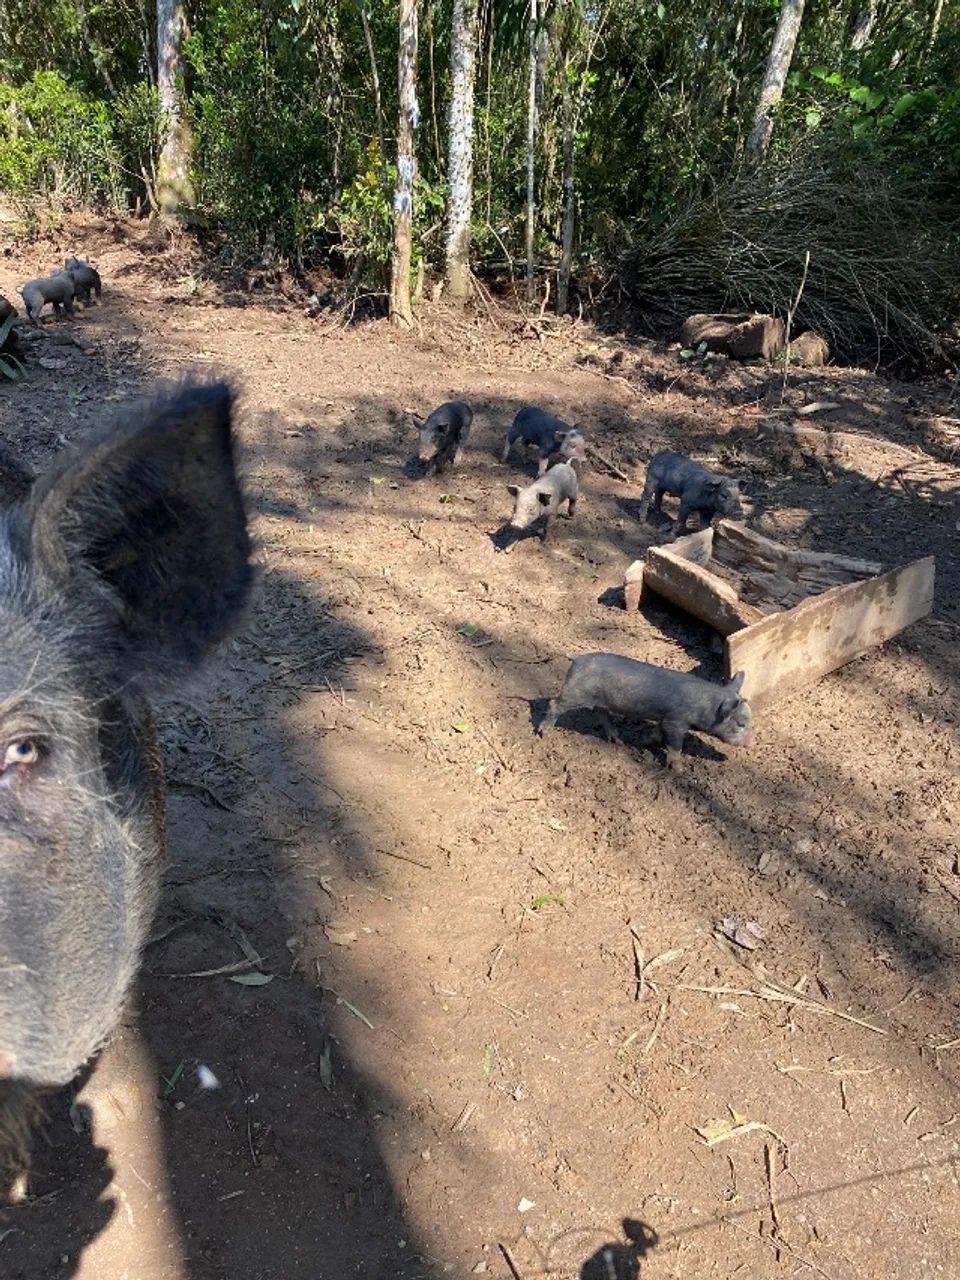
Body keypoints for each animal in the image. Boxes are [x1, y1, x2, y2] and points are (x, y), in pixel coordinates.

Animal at [538, 654, 754, 764]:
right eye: (741, 723)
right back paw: (544, 734)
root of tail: (577, 658)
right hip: (575, 693)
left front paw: (643, 741)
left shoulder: (666, 720)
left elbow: (657, 732)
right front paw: (678, 770)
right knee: (554, 704)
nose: (751, 743)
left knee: (602, 714)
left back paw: (618, 741)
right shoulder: (676, 721)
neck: (706, 707)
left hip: (600, 701)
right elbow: (675, 746)